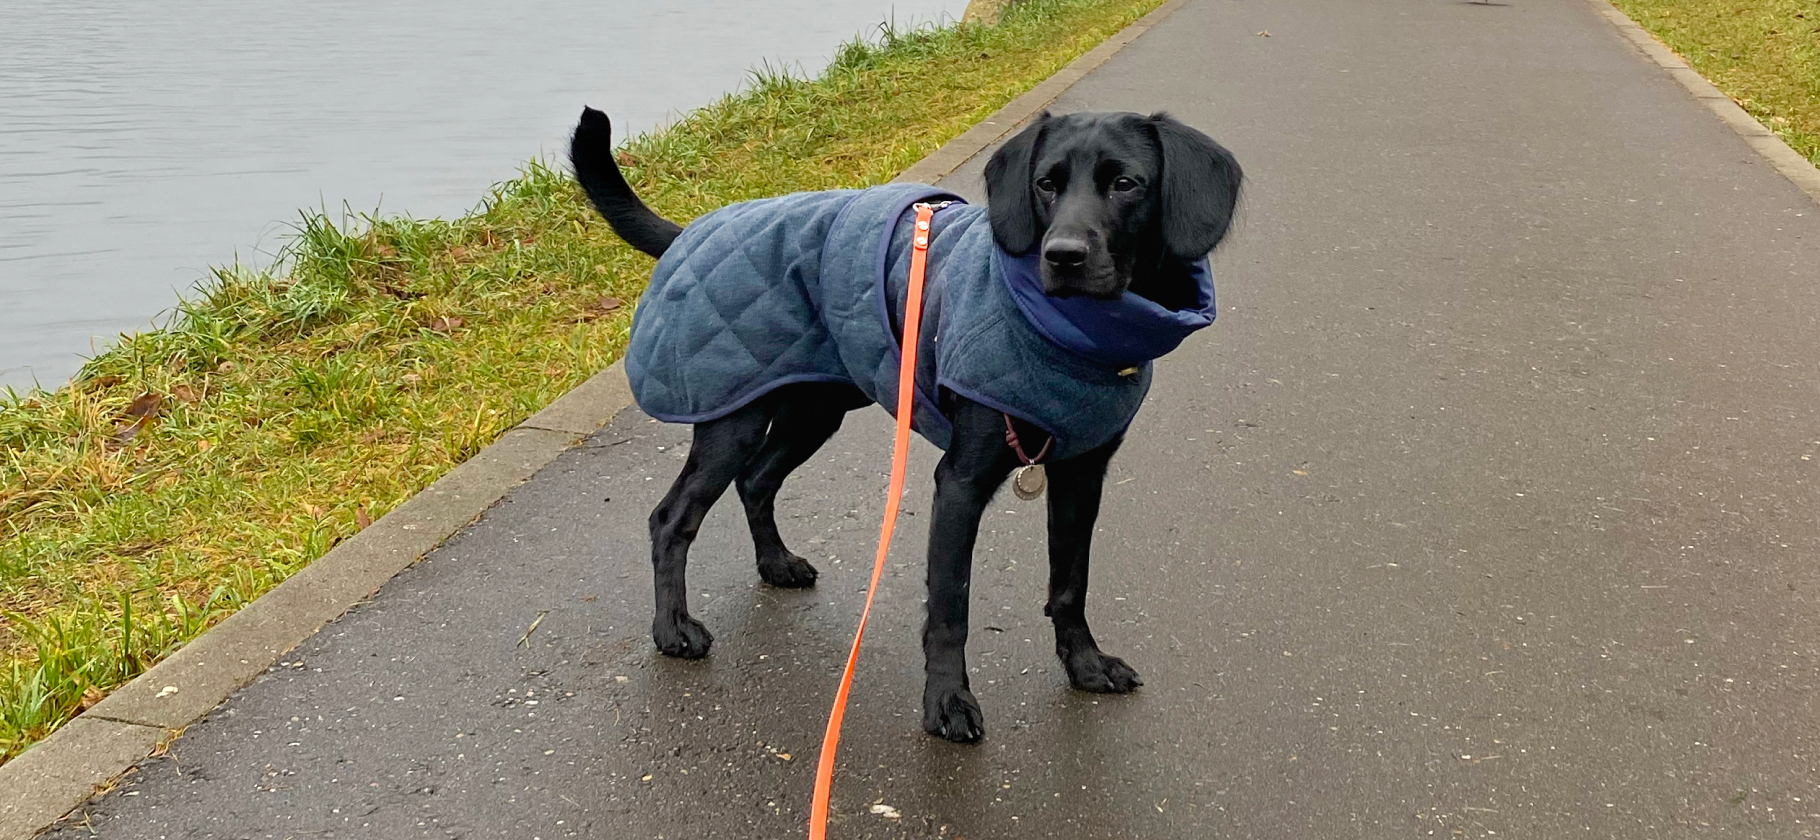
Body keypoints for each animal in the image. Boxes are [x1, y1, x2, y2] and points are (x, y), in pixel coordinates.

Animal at [575, 106, 1244, 741]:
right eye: (1045, 184)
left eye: (1126, 183)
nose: (1062, 256)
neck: (1074, 337)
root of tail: (697, 228)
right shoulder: (960, 484)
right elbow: (951, 607)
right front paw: (946, 701)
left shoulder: (1082, 477)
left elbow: (1069, 583)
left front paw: (1084, 664)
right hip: (732, 421)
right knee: (672, 518)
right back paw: (672, 628)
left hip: (816, 408)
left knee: (757, 480)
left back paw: (776, 564)